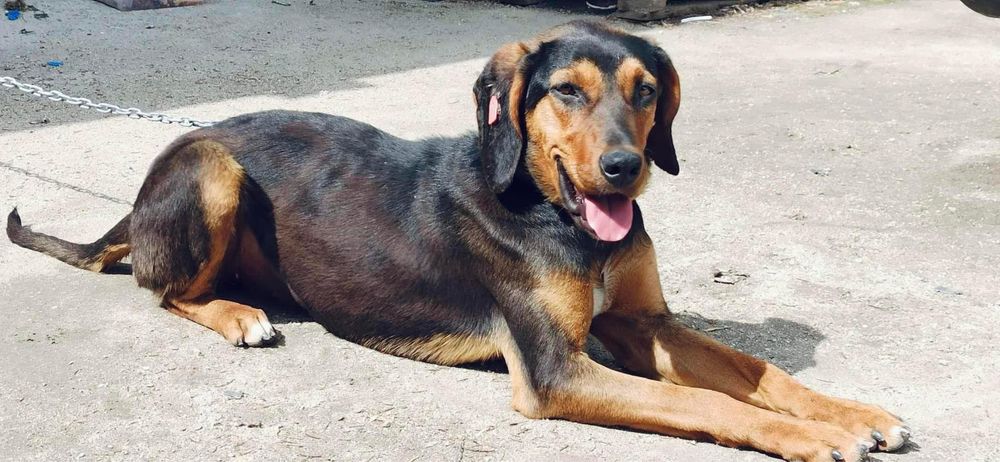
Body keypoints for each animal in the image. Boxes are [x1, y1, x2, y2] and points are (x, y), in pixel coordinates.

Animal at [7, 21, 909, 462]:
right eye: (566, 92)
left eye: (647, 90)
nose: (627, 171)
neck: (559, 216)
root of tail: (146, 186)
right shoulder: (554, 372)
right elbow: (708, 402)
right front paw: (816, 438)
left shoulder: (641, 323)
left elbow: (756, 372)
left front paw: (855, 413)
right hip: (214, 165)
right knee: (163, 289)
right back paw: (237, 314)